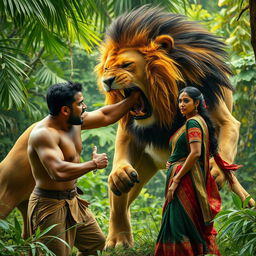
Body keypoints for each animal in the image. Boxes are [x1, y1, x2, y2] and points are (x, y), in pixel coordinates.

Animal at [0, 5, 254, 246]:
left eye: (127, 64)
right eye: (106, 68)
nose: (107, 81)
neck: (166, 104)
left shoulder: (220, 115)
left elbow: (227, 135)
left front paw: (217, 170)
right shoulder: (129, 127)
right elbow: (121, 151)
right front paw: (119, 173)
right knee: (117, 200)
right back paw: (117, 239)